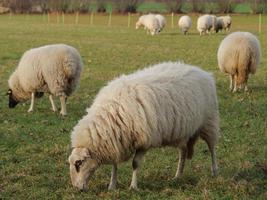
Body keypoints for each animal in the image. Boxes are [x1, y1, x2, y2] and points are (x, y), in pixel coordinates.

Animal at [68, 61, 220, 191]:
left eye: (79, 163)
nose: (77, 188)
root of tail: (202, 71)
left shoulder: (144, 141)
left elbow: (135, 163)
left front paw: (133, 187)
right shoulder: (116, 141)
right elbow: (114, 165)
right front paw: (112, 185)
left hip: (209, 122)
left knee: (212, 148)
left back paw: (214, 171)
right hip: (183, 132)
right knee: (183, 152)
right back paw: (177, 176)